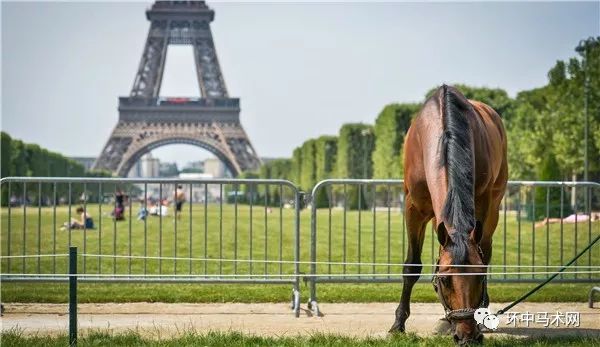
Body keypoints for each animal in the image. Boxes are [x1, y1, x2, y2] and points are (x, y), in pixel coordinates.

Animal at [390, 85, 506, 346]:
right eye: (444, 280)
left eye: (479, 278)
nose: (467, 336)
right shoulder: (413, 207)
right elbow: (411, 266)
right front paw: (398, 324)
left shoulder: (482, 204)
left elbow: (482, 255)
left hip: (494, 205)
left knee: (487, 248)